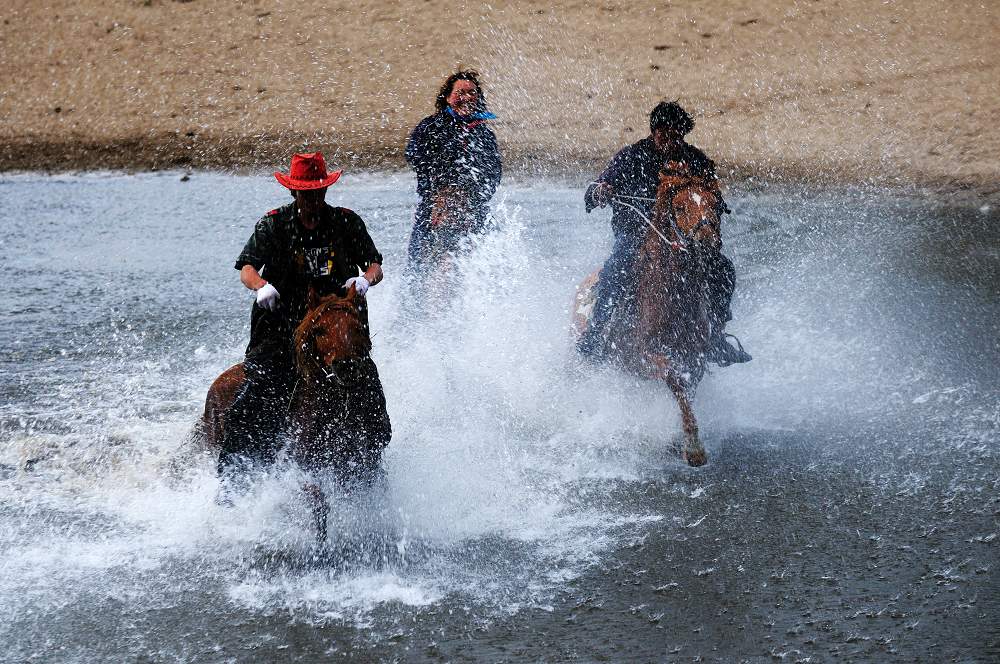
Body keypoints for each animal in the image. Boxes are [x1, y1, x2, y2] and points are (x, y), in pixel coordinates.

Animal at [195, 286, 390, 540]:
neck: (334, 412)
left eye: (357, 327)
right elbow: (318, 503)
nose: (346, 366)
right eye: (319, 330)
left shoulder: (363, 464)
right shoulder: (296, 470)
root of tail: (217, 382)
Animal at [576, 166, 724, 466]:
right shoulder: (640, 358)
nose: (706, 242)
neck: (672, 301)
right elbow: (674, 379)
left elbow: (687, 391)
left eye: (715, 204)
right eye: (679, 207)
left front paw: (681, 440)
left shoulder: (696, 359)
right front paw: (694, 449)